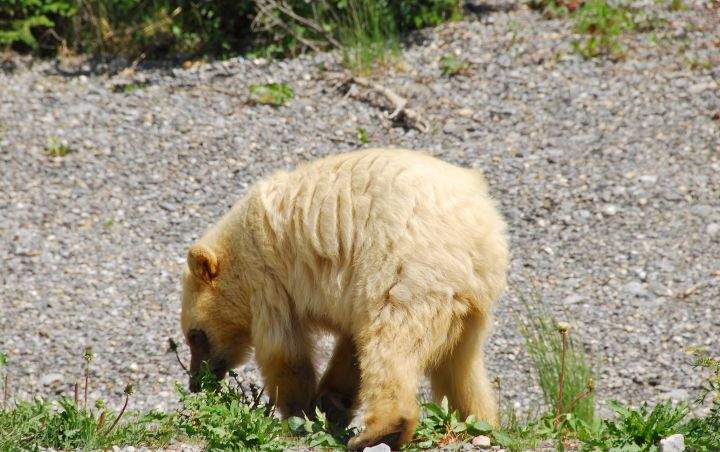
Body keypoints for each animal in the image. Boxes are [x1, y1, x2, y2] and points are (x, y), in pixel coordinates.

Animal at [180, 148, 508, 450]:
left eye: (195, 336)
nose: (195, 383)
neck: (236, 246)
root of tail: (478, 227)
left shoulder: (267, 278)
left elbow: (283, 351)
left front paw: (299, 412)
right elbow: (350, 345)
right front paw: (330, 403)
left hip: (407, 265)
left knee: (392, 340)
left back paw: (380, 432)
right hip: (472, 296)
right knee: (460, 361)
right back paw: (477, 421)